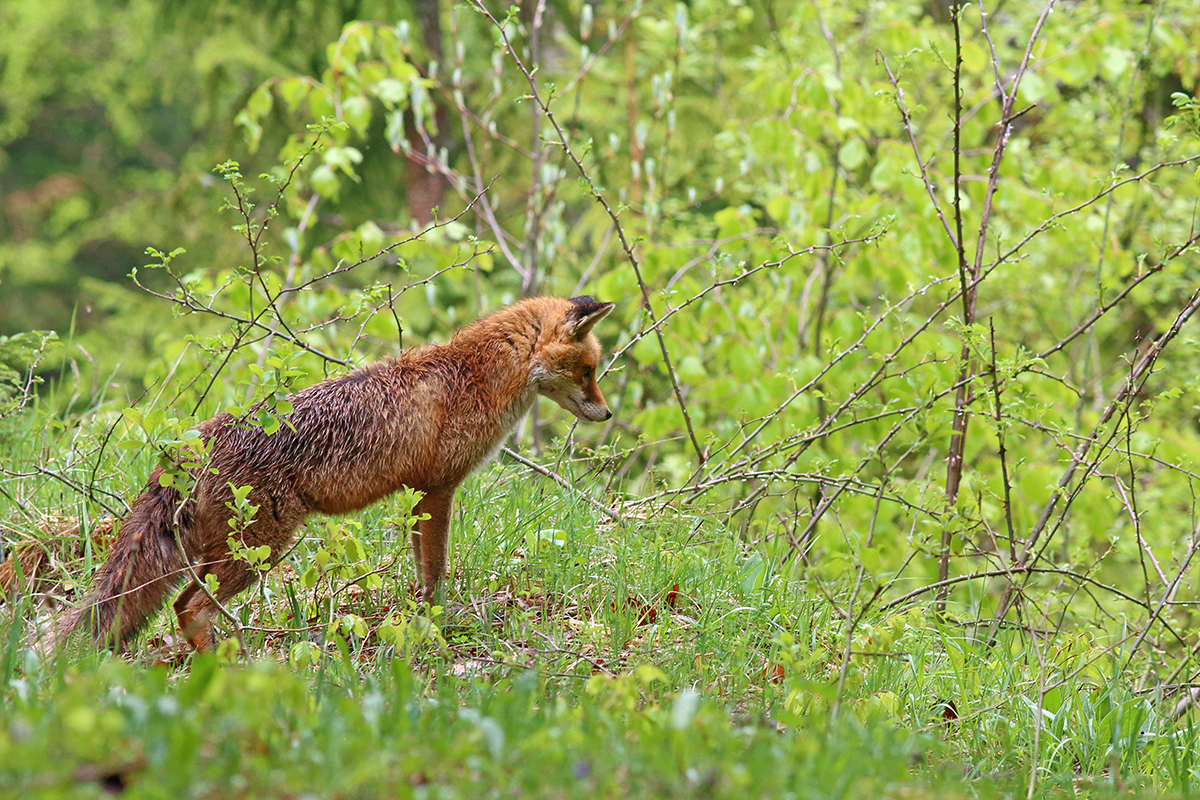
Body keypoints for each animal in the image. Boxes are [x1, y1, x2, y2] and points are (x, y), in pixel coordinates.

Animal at [42, 293, 614, 652]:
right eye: (588, 371)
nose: (607, 415)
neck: (471, 378)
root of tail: (201, 435)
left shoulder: (415, 493)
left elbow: (419, 570)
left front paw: (419, 619)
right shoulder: (438, 488)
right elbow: (434, 574)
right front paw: (437, 624)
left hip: (226, 550)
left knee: (183, 607)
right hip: (261, 549)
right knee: (188, 608)